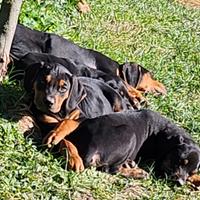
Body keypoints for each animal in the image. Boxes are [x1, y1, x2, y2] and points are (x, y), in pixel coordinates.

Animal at [66, 108, 200, 185]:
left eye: (191, 172)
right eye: (180, 161)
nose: (180, 183)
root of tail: (92, 146)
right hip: (129, 133)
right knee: (111, 169)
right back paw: (138, 172)